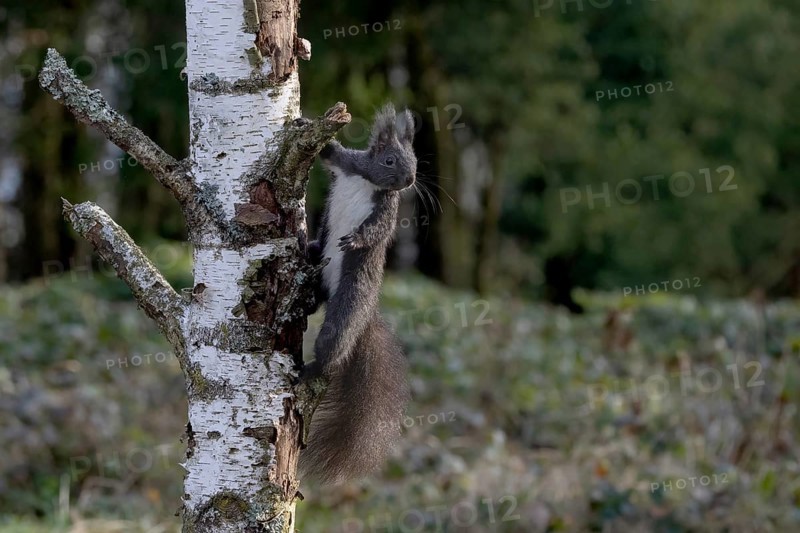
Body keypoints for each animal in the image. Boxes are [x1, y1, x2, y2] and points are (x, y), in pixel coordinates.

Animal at [299, 104, 417, 485]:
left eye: (416, 161)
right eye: (390, 160)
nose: (409, 181)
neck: (369, 181)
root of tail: (367, 316)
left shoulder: (386, 210)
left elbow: (375, 230)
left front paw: (354, 239)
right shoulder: (347, 165)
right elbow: (332, 153)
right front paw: (307, 122)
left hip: (349, 301)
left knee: (332, 349)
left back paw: (311, 368)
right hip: (315, 263)